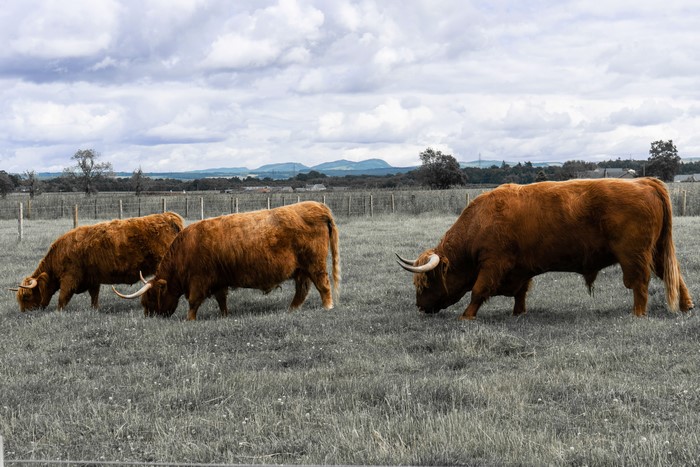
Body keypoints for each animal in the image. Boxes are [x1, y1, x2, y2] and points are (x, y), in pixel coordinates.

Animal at [13, 212, 184, 312]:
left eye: (26, 296)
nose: (25, 312)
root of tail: (168, 216)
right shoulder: (93, 278)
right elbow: (94, 296)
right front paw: (94, 309)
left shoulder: (69, 277)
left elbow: (63, 297)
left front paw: (58, 312)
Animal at [112, 201, 341, 320]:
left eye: (150, 297)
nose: (148, 316)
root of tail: (318, 206)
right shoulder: (219, 280)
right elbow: (222, 299)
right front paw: (224, 315)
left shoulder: (199, 280)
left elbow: (193, 302)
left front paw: (189, 319)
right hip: (302, 269)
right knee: (302, 290)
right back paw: (291, 310)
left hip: (315, 265)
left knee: (323, 285)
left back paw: (327, 307)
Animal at [397, 177, 694, 320]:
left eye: (426, 281)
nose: (420, 307)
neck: (480, 220)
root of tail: (645, 181)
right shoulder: (520, 268)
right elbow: (521, 293)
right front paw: (518, 313)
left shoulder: (493, 263)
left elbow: (478, 291)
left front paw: (466, 317)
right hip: (657, 251)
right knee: (673, 275)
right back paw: (687, 305)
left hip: (634, 255)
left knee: (640, 283)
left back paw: (638, 313)